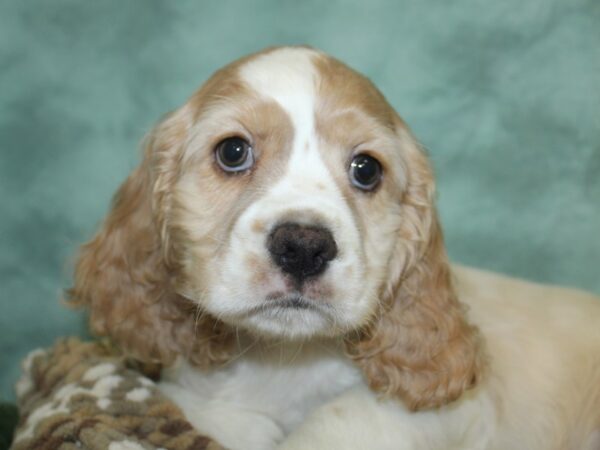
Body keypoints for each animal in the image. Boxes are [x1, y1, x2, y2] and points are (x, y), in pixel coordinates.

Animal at [70, 47, 600, 448]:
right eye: (233, 151)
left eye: (366, 169)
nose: (304, 247)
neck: (285, 359)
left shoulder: (438, 414)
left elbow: (333, 421)